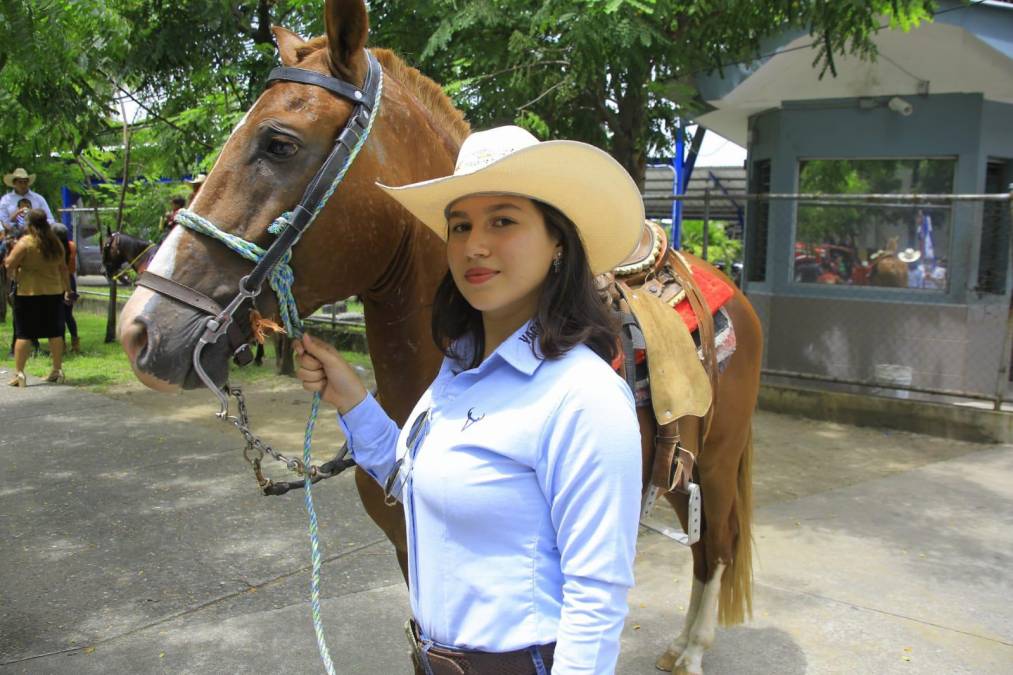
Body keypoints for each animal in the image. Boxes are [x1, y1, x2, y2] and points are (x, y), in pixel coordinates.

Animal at [118, 0, 761, 668]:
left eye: (278, 142)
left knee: (716, 546)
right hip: (684, 472)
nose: (141, 329)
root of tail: (728, 290)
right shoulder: (409, 558)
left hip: (718, 462)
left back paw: (693, 651)